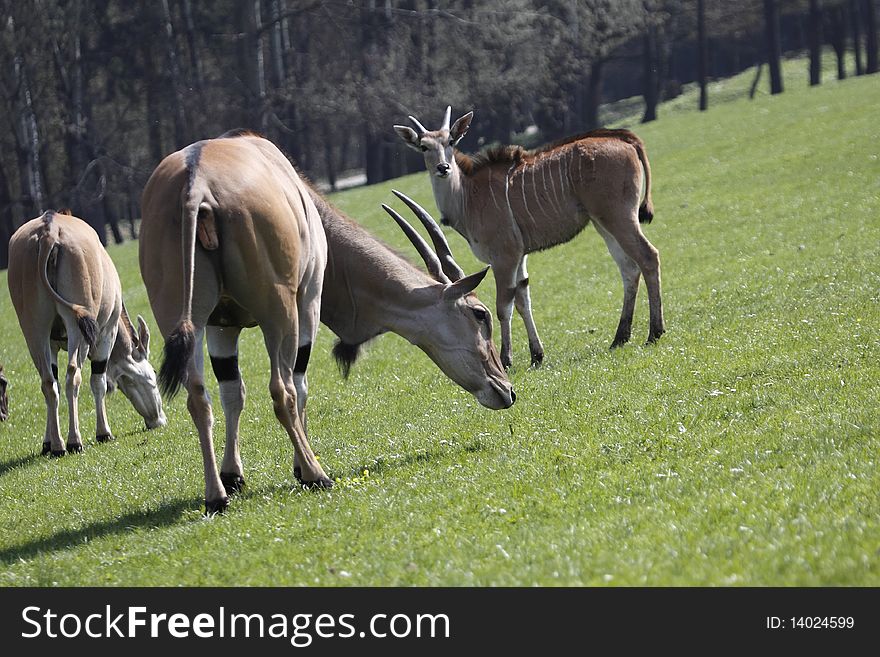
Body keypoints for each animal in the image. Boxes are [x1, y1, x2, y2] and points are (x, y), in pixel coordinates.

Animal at [7, 210, 165, 456]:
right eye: (153, 374)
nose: (160, 420)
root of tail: (49, 230)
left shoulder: (51, 343)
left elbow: (53, 383)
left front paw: (47, 443)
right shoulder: (106, 334)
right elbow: (98, 382)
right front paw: (103, 433)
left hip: (33, 330)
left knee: (48, 382)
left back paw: (57, 445)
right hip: (77, 330)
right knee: (74, 374)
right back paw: (74, 441)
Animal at [396, 105, 664, 366]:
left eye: (451, 141)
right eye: (424, 146)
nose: (443, 168)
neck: (468, 196)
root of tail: (625, 139)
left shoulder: (505, 257)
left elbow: (504, 306)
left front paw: (506, 359)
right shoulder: (520, 257)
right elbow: (523, 299)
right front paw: (537, 355)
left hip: (619, 217)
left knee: (648, 257)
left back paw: (654, 332)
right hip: (603, 224)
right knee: (629, 269)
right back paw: (620, 337)